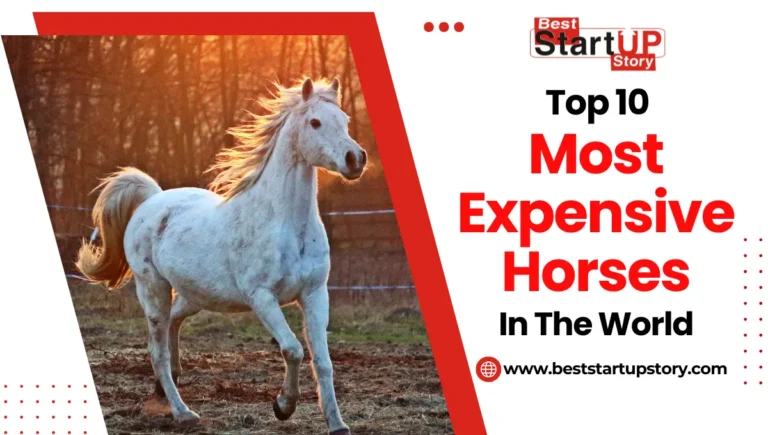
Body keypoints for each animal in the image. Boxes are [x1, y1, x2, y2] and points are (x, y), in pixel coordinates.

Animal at [76, 77, 366, 435]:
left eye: (345, 120)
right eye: (315, 122)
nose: (356, 159)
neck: (285, 223)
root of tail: (153, 200)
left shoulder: (314, 293)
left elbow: (323, 361)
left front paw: (337, 424)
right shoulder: (262, 297)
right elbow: (293, 349)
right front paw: (283, 406)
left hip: (195, 295)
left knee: (173, 324)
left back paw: (167, 385)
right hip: (153, 289)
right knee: (157, 350)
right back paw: (183, 412)